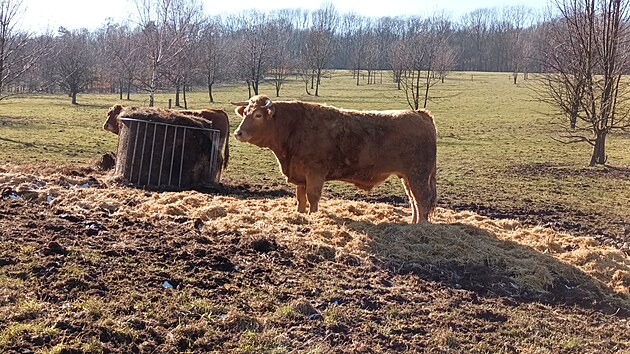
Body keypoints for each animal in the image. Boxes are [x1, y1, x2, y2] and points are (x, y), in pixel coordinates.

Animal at [233, 95, 440, 223]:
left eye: (258, 115)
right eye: (245, 113)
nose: (238, 133)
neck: (294, 128)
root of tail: (419, 113)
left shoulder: (315, 172)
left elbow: (313, 196)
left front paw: (313, 216)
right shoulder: (300, 175)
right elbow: (300, 198)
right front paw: (300, 214)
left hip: (418, 174)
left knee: (422, 198)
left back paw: (420, 226)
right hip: (407, 176)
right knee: (413, 199)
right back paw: (412, 222)